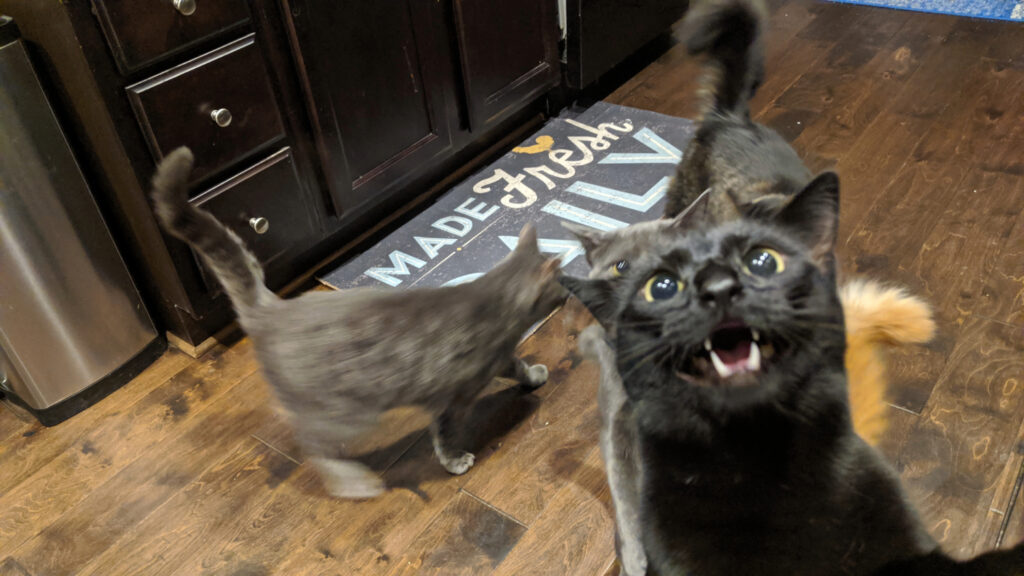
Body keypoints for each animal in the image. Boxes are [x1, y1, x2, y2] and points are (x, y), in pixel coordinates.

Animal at [152, 146, 569, 498]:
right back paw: (353, 482)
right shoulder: (450, 399)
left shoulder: (499, 358)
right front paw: (455, 461)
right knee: (312, 445)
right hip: (349, 413)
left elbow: (517, 365)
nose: (569, 293)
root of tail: (271, 309)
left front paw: (534, 375)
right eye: (563, 282)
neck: (492, 300)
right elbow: (446, 433)